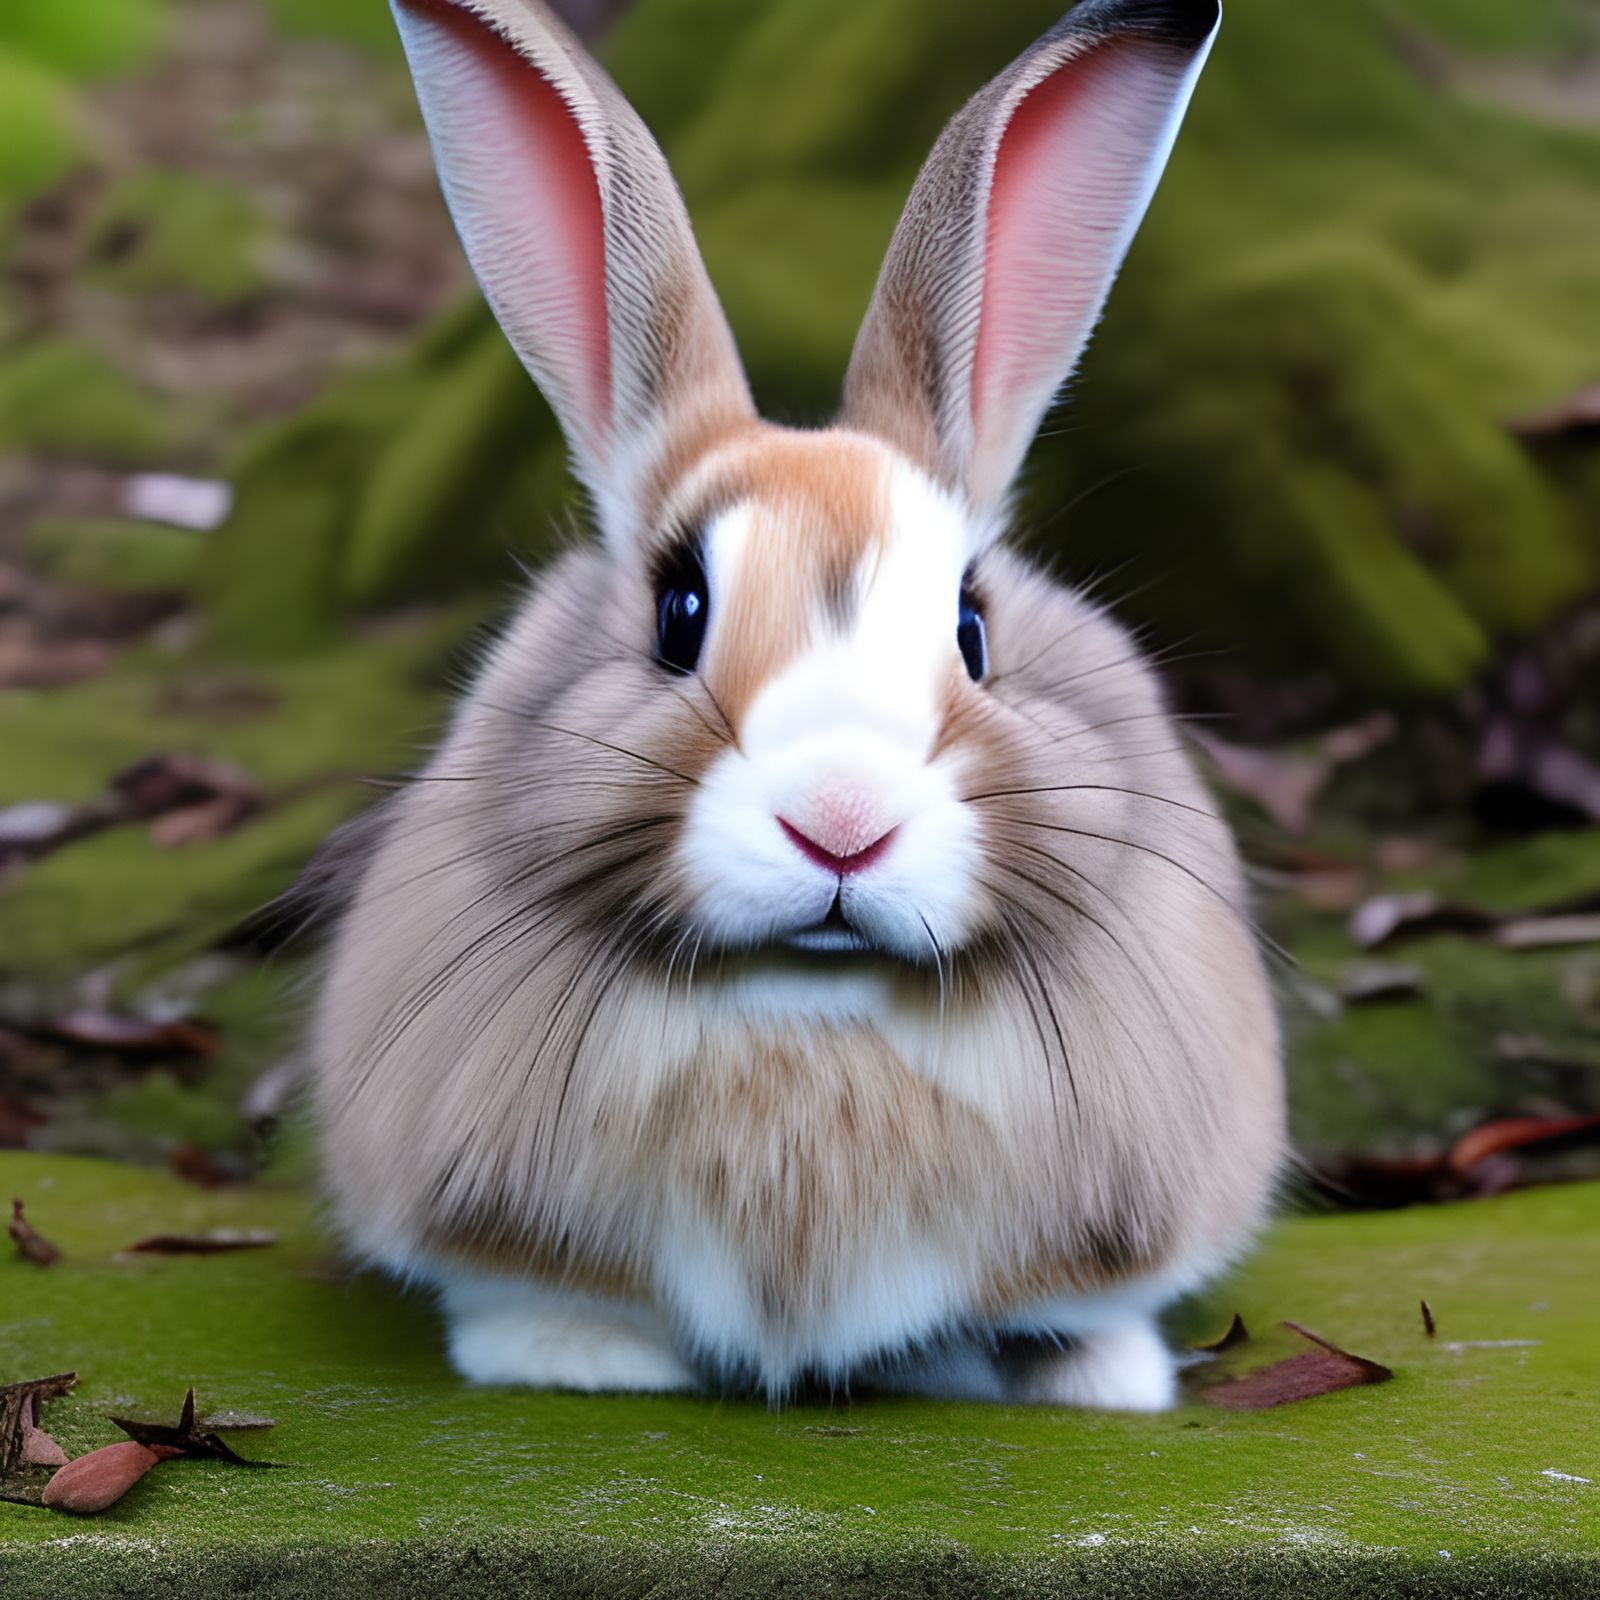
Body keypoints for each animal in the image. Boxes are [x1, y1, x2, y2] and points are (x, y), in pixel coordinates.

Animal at [312, 0, 1285, 1409]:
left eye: (974, 627)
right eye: (679, 611)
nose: (840, 823)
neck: (810, 1003)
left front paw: (1100, 1380)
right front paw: (574, 1361)